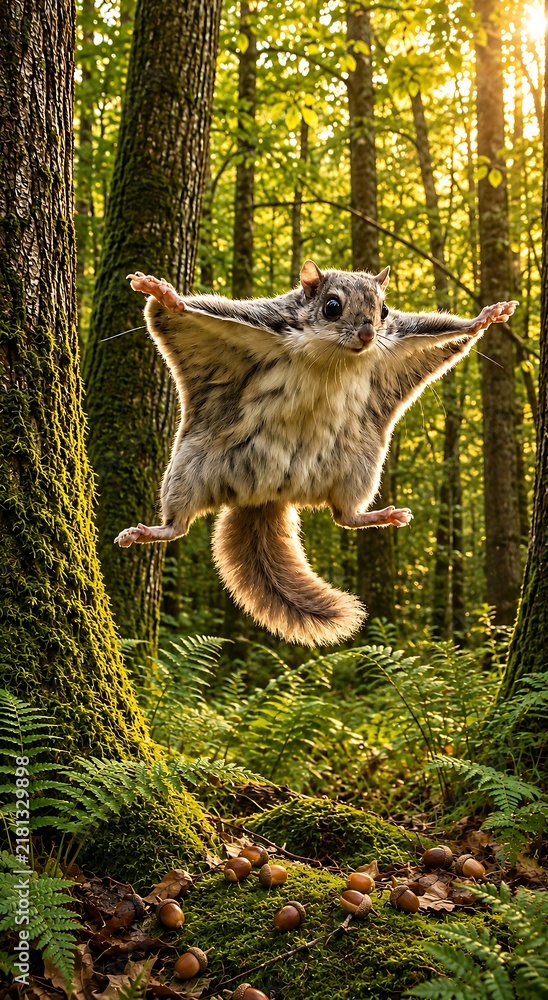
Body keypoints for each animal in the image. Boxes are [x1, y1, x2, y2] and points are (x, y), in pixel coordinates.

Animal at [114, 261, 517, 647]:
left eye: (384, 309)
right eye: (332, 306)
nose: (368, 335)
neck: (331, 358)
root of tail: (265, 497)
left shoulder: (401, 338)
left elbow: (444, 329)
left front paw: (486, 316)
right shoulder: (264, 319)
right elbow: (178, 311)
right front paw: (163, 293)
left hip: (359, 469)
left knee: (345, 517)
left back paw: (381, 515)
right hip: (188, 468)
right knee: (178, 526)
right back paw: (145, 532)